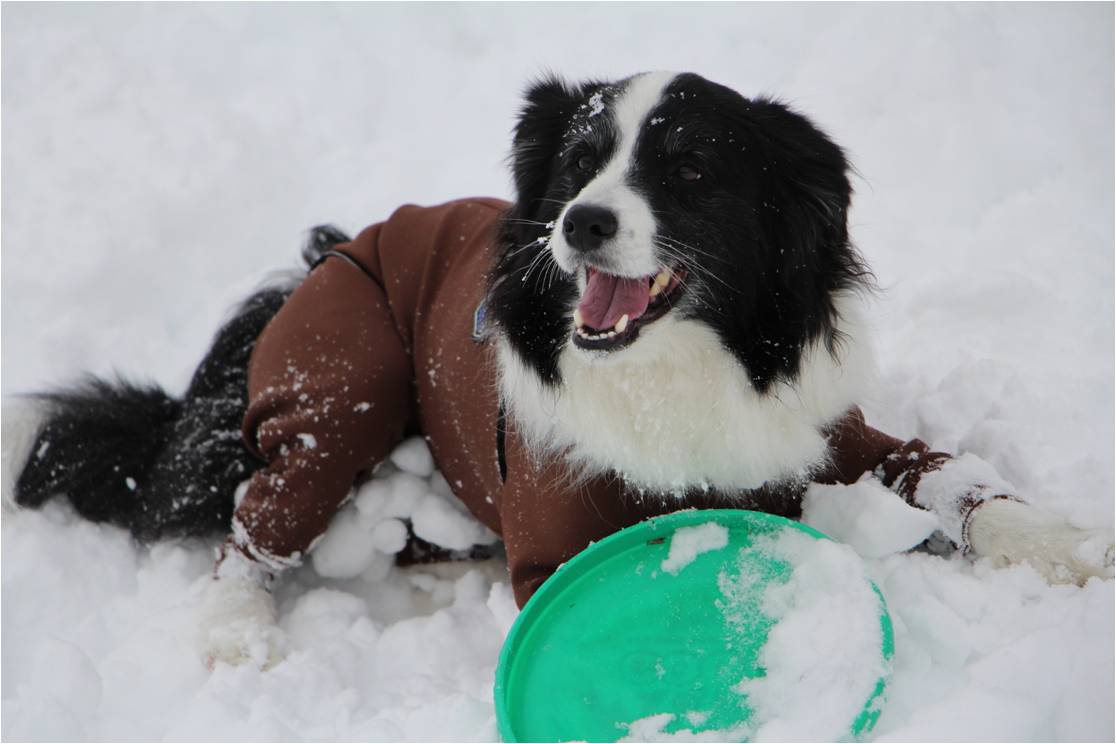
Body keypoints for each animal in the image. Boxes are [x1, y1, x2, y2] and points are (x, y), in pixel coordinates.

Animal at [6, 72, 1107, 669]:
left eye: (691, 167)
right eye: (579, 163)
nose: (579, 221)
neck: (679, 362)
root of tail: (323, 255)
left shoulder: (832, 435)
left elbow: (952, 476)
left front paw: (1071, 549)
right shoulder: (557, 539)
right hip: (344, 376)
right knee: (254, 521)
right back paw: (237, 638)